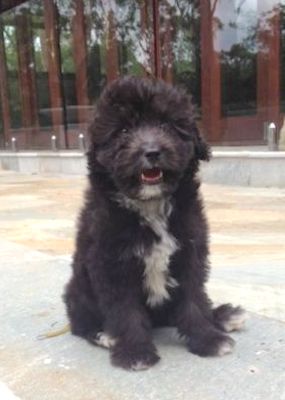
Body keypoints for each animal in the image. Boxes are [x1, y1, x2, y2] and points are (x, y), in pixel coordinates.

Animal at [63, 76, 245, 370]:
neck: (150, 206)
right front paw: (135, 352)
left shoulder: (190, 252)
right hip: (78, 289)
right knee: (80, 323)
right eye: (124, 131)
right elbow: (125, 310)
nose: (151, 151)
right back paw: (104, 335)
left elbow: (194, 299)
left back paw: (223, 316)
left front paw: (207, 338)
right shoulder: (111, 263)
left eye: (166, 125)